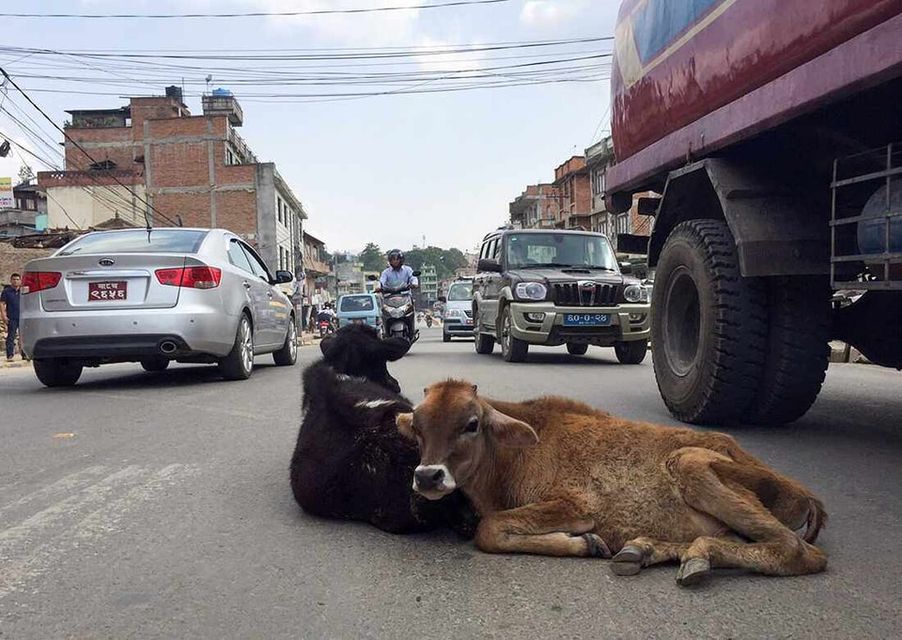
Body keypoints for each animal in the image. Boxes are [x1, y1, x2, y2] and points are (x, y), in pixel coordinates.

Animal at [400, 382, 828, 588]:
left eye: (471, 424)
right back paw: (645, 551)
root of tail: (806, 495)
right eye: (417, 427)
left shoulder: (575, 506)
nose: (428, 476)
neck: (513, 454)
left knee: (797, 552)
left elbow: (488, 530)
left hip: (689, 463)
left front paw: (584, 543)